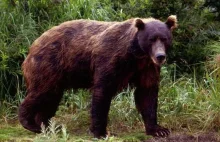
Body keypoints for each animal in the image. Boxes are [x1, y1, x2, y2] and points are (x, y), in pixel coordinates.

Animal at [18, 15, 177, 138]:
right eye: (151, 39)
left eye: (164, 39)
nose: (160, 56)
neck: (136, 54)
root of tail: (35, 43)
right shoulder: (111, 59)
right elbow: (102, 91)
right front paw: (101, 132)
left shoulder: (146, 67)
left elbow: (147, 94)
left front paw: (159, 130)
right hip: (50, 64)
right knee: (42, 91)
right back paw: (30, 123)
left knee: (51, 97)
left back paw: (47, 125)